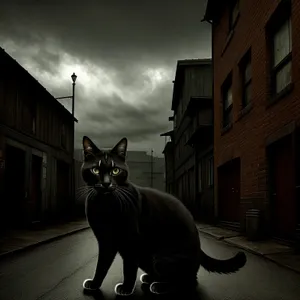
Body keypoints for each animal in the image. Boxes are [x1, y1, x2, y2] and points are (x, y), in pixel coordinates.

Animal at [81, 137, 246, 296]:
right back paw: (150, 279)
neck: (105, 204)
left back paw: (159, 286)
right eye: (95, 170)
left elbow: (128, 268)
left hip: (161, 258)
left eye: (115, 170)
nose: (106, 183)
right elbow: (101, 266)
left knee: (189, 281)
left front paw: (126, 288)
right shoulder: (105, 241)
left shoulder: (131, 241)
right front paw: (94, 284)